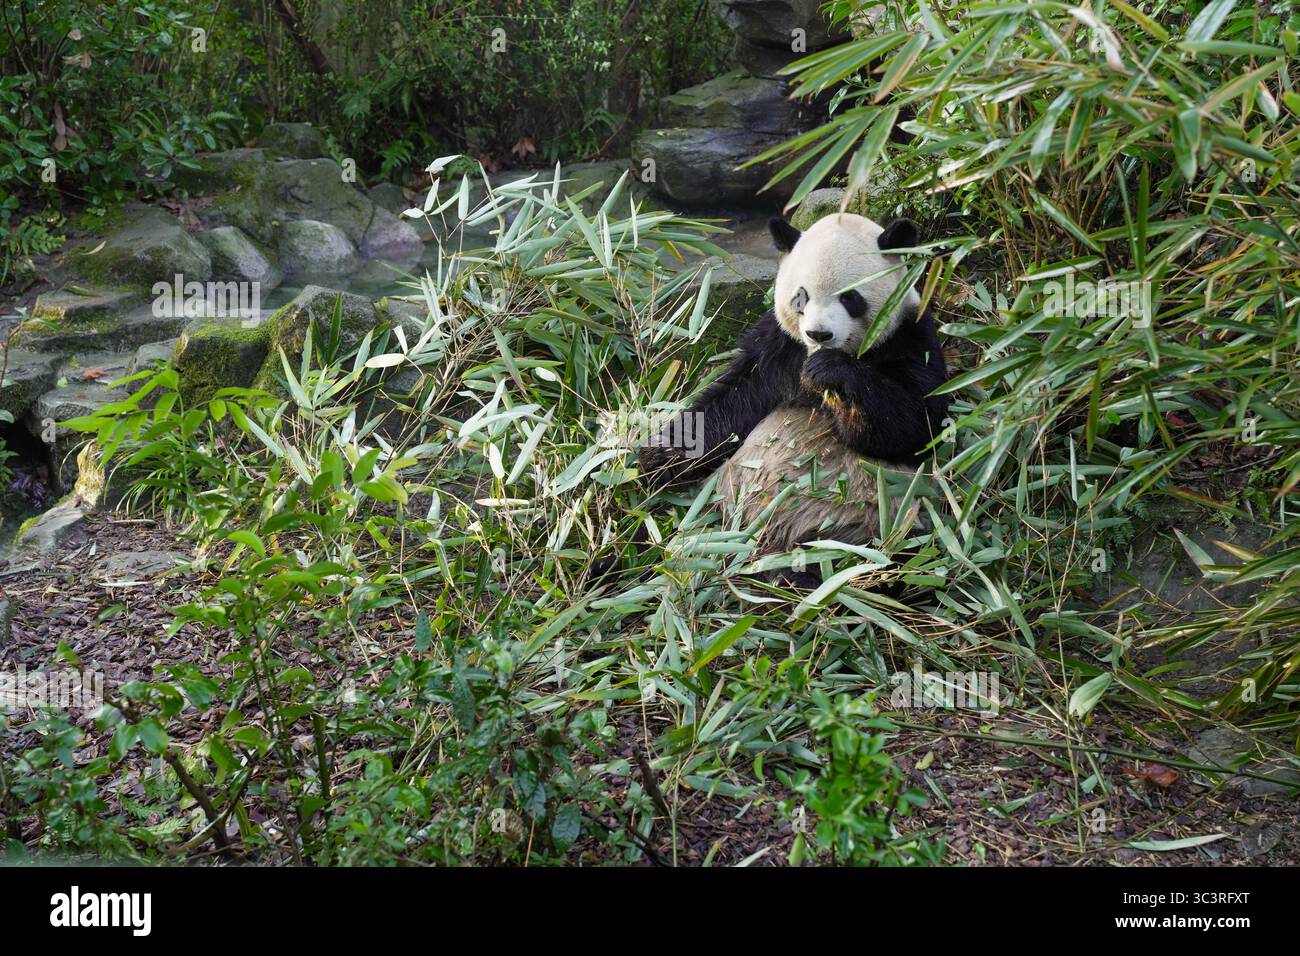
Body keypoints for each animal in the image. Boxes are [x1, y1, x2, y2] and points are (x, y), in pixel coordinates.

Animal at [637, 212, 949, 572]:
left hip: (871, 529)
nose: (819, 333)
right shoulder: (779, 345)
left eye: (850, 297)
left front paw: (830, 372)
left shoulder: (911, 335)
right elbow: (732, 403)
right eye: (802, 296)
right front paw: (658, 454)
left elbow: (915, 424)